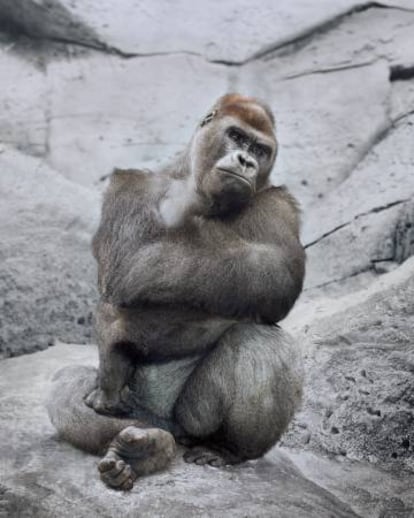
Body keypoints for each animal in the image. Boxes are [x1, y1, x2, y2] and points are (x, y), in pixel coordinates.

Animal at [47, 93, 306, 492]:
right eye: (236, 136)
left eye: (260, 150)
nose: (246, 161)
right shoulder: (131, 185)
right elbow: (129, 257)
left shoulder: (279, 203)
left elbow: (276, 271)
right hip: (141, 411)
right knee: (63, 385)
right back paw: (144, 449)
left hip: (192, 421)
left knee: (263, 343)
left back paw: (221, 449)